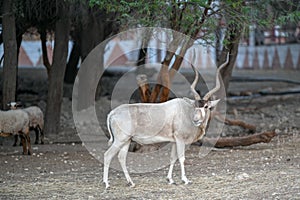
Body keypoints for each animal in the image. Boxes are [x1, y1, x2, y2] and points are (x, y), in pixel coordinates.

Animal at [102, 55, 227, 188]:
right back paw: (106, 183)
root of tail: (112, 113)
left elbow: (172, 158)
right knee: (107, 155)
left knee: (121, 157)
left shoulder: (174, 141)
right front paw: (185, 179)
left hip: (126, 140)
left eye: (206, 106)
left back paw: (131, 182)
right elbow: (181, 158)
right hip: (120, 140)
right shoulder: (180, 139)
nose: (196, 120)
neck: (186, 111)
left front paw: (170, 179)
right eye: (195, 105)